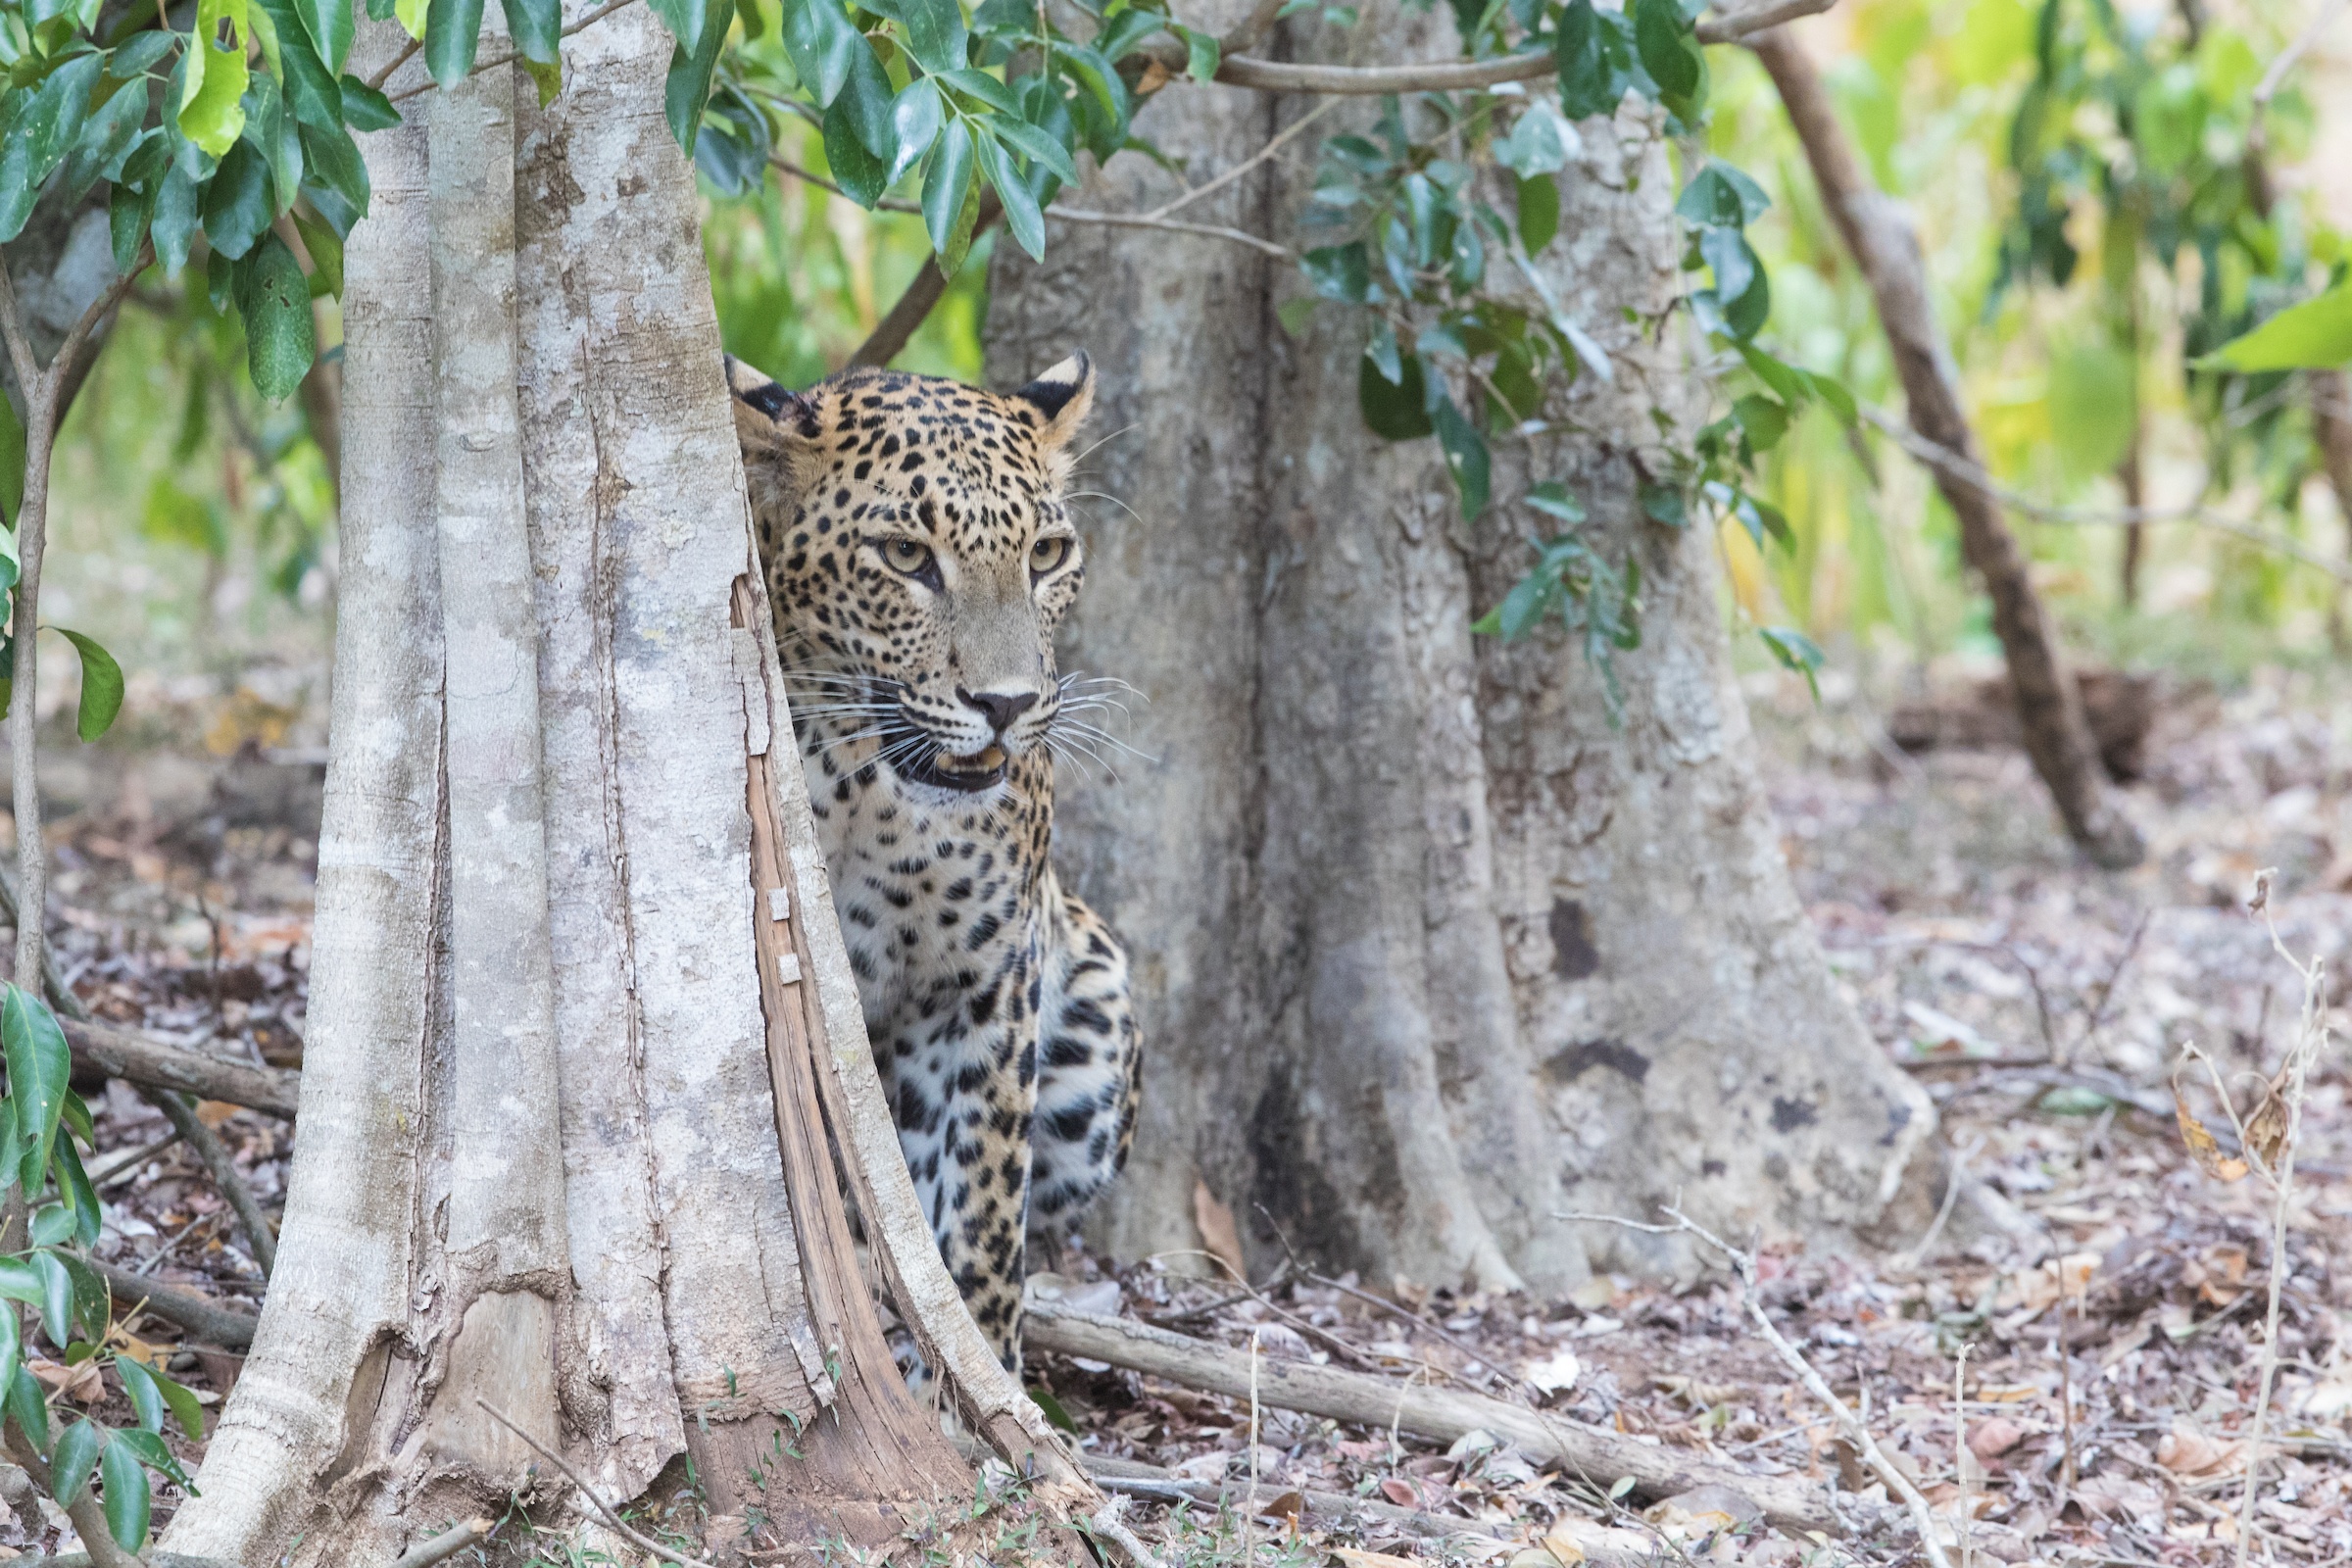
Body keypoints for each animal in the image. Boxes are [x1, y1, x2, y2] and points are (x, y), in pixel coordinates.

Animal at [727, 349, 1141, 1373]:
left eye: (1046, 555)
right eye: (906, 557)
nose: (1008, 704)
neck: (869, 793)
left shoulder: (986, 981)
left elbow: (983, 1201)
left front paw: (976, 1373)